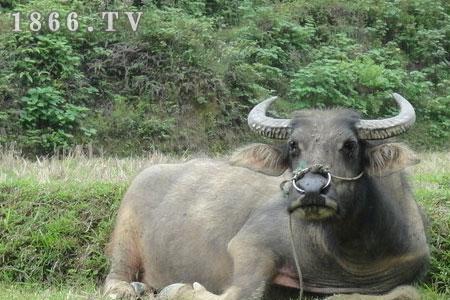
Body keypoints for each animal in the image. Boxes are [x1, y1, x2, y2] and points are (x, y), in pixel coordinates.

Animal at [103, 94, 428, 300]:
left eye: (349, 145)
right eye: (294, 145)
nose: (311, 188)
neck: (352, 255)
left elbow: (406, 292)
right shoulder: (250, 244)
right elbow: (243, 292)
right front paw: (178, 289)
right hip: (125, 238)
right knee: (115, 277)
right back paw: (130, 288)